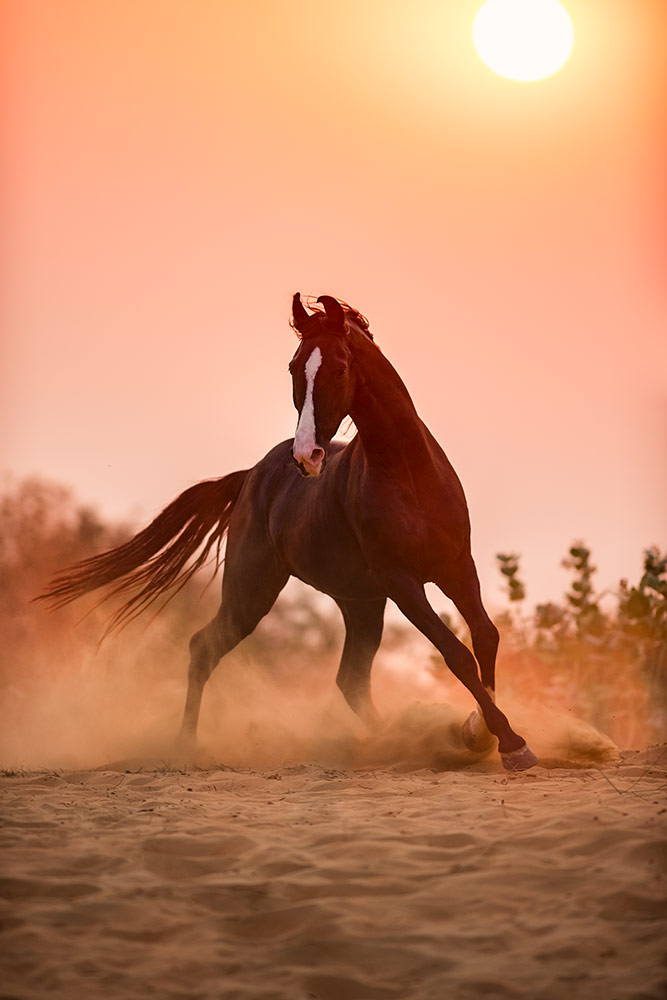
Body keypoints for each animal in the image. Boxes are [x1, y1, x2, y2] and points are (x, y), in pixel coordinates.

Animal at [39, 293, 538, 771]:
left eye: (339, 367)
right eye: (296, 368)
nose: (308, 456)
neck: (410, 476)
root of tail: (249, 476)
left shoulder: (456, 568)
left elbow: (485, 638)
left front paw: (477, 733)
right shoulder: (403, 582)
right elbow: (456, 653)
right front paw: (511, 744)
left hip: (360, 602)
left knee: (351, 680)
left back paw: (394, 741)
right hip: (252, 591)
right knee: (204, 648)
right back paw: (184, 748)